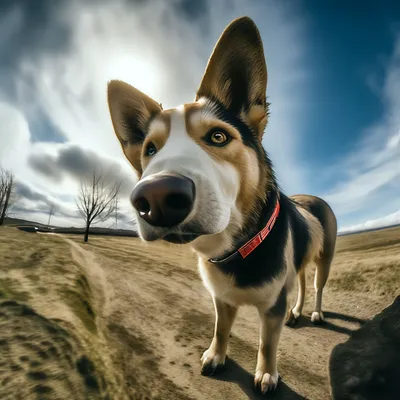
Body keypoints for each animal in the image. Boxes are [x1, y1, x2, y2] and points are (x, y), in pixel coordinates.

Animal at [106, 16, 338, 394]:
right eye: (150, 150)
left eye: (218, 136)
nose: (156, 197)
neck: (235, 248)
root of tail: (314, 197)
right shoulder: (221, 298)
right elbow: (220, 328)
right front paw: (216, 356)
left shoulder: (272, 305)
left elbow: (267, 343)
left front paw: (267, 374)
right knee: (302, 284)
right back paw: (298, 311)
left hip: (325, 257)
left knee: (316, 287)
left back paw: (315, 312)